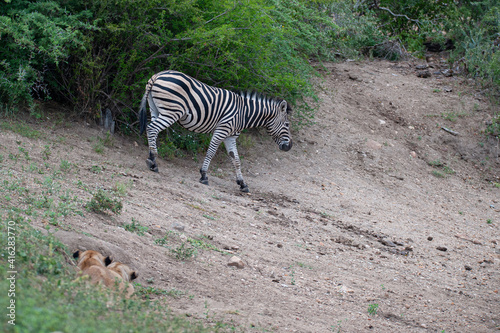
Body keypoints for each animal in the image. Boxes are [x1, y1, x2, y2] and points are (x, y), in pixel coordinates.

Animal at [138, 70, 292, 192]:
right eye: (287, 124)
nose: (289, 146)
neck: (244, 113)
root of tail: (157, 75)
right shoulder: (222, 130)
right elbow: (211, 152)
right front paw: (204, 175)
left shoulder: (230, 137)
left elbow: (236, 160)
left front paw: (242, 184)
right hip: (171, 112)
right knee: (152, 128)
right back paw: (153, 161)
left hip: (156, 109)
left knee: (152, 130)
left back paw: (151, 159)